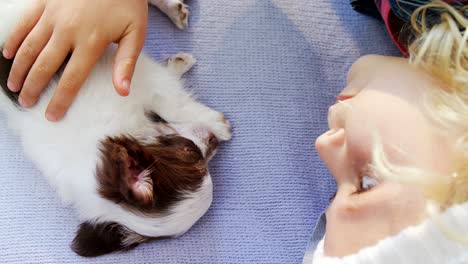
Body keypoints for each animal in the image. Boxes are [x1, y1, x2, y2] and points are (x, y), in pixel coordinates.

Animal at [0, 0, 230, 256]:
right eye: (190, 152)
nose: (213, 140)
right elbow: (170, 97)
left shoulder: (128, 77)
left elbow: (172, 101)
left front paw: (215, 122)